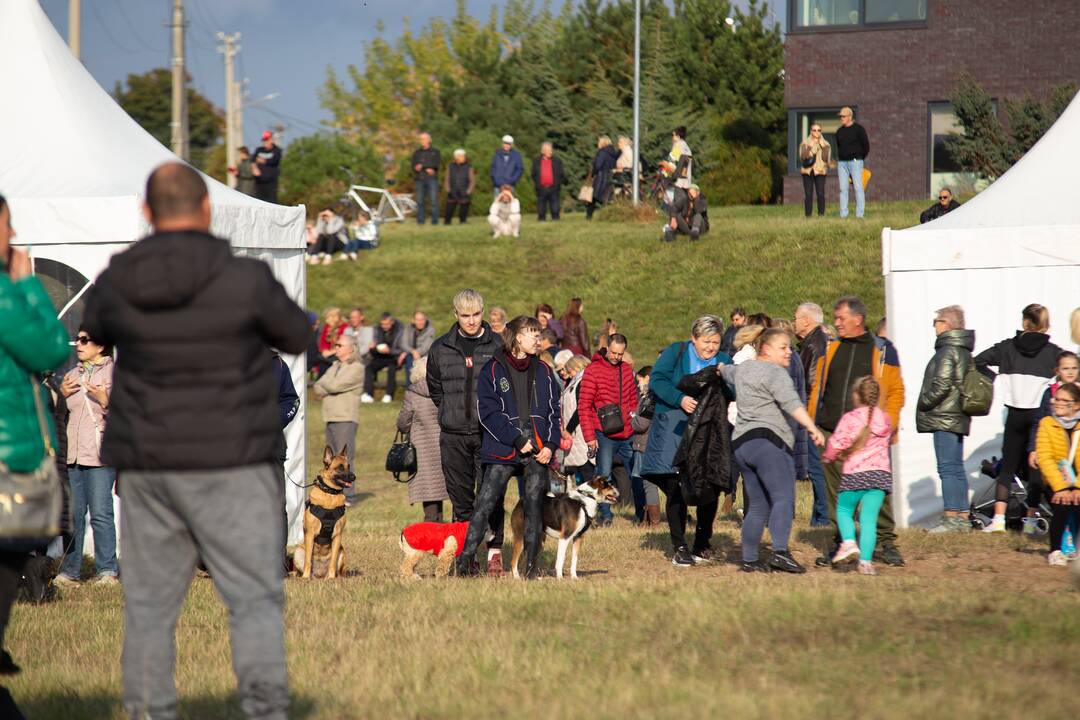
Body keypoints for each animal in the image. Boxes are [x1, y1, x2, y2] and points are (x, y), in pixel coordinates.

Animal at [295, 444, 354, 578]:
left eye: (348, 466)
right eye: (340, 467)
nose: (354, 477)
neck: (330, 494)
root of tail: (319, 575)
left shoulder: (338, 536)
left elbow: (333, 561)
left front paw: (331, 578)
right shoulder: (310, 534)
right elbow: (308, 560)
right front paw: (305, 577)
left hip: (342, 551)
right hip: (298, 551)